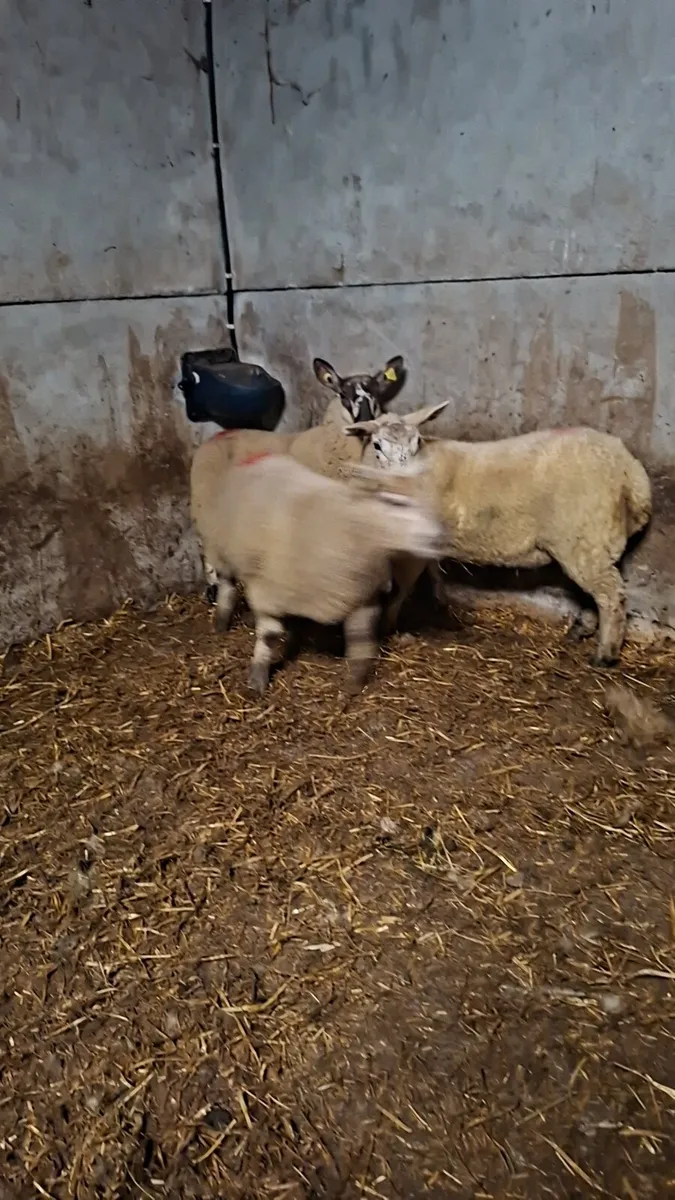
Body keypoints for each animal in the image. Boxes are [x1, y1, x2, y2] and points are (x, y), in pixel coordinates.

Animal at [192, 452, 444, 694]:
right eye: (396, 502)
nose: (438, 539)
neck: (355, 530)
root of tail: (258, 459)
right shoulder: (267, 591)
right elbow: (268, 636)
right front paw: (257, 680)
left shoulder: (360, 596)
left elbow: (361, 639)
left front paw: (354, 684)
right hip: (223, 552)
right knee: (227, 587)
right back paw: (221, 623)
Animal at [373, 426, 652, 665]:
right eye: (377, 446)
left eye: (414, 444)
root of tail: (630, 471)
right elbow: (430, 574)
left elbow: (400, 587)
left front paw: (386, 626)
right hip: (593, 545)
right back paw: (581, 630)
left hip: (583, 539)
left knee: (611, 596)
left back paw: (605, 654)